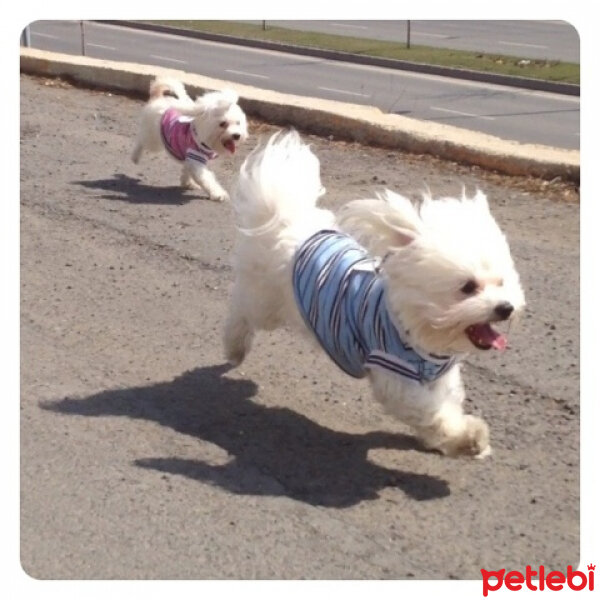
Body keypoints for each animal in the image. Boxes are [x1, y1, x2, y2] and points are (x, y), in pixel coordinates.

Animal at [225, 131, 524, 460]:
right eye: (468, 287)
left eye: (501, 282)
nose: (506, 307)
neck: (418, 331)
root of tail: (288, 221)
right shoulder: (395, 374)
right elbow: (432, 413)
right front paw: (468, 438)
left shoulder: (440, 377)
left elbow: (445, 407)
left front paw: (453, 440)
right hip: (265, 302)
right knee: (240, 308)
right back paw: (235, 346)